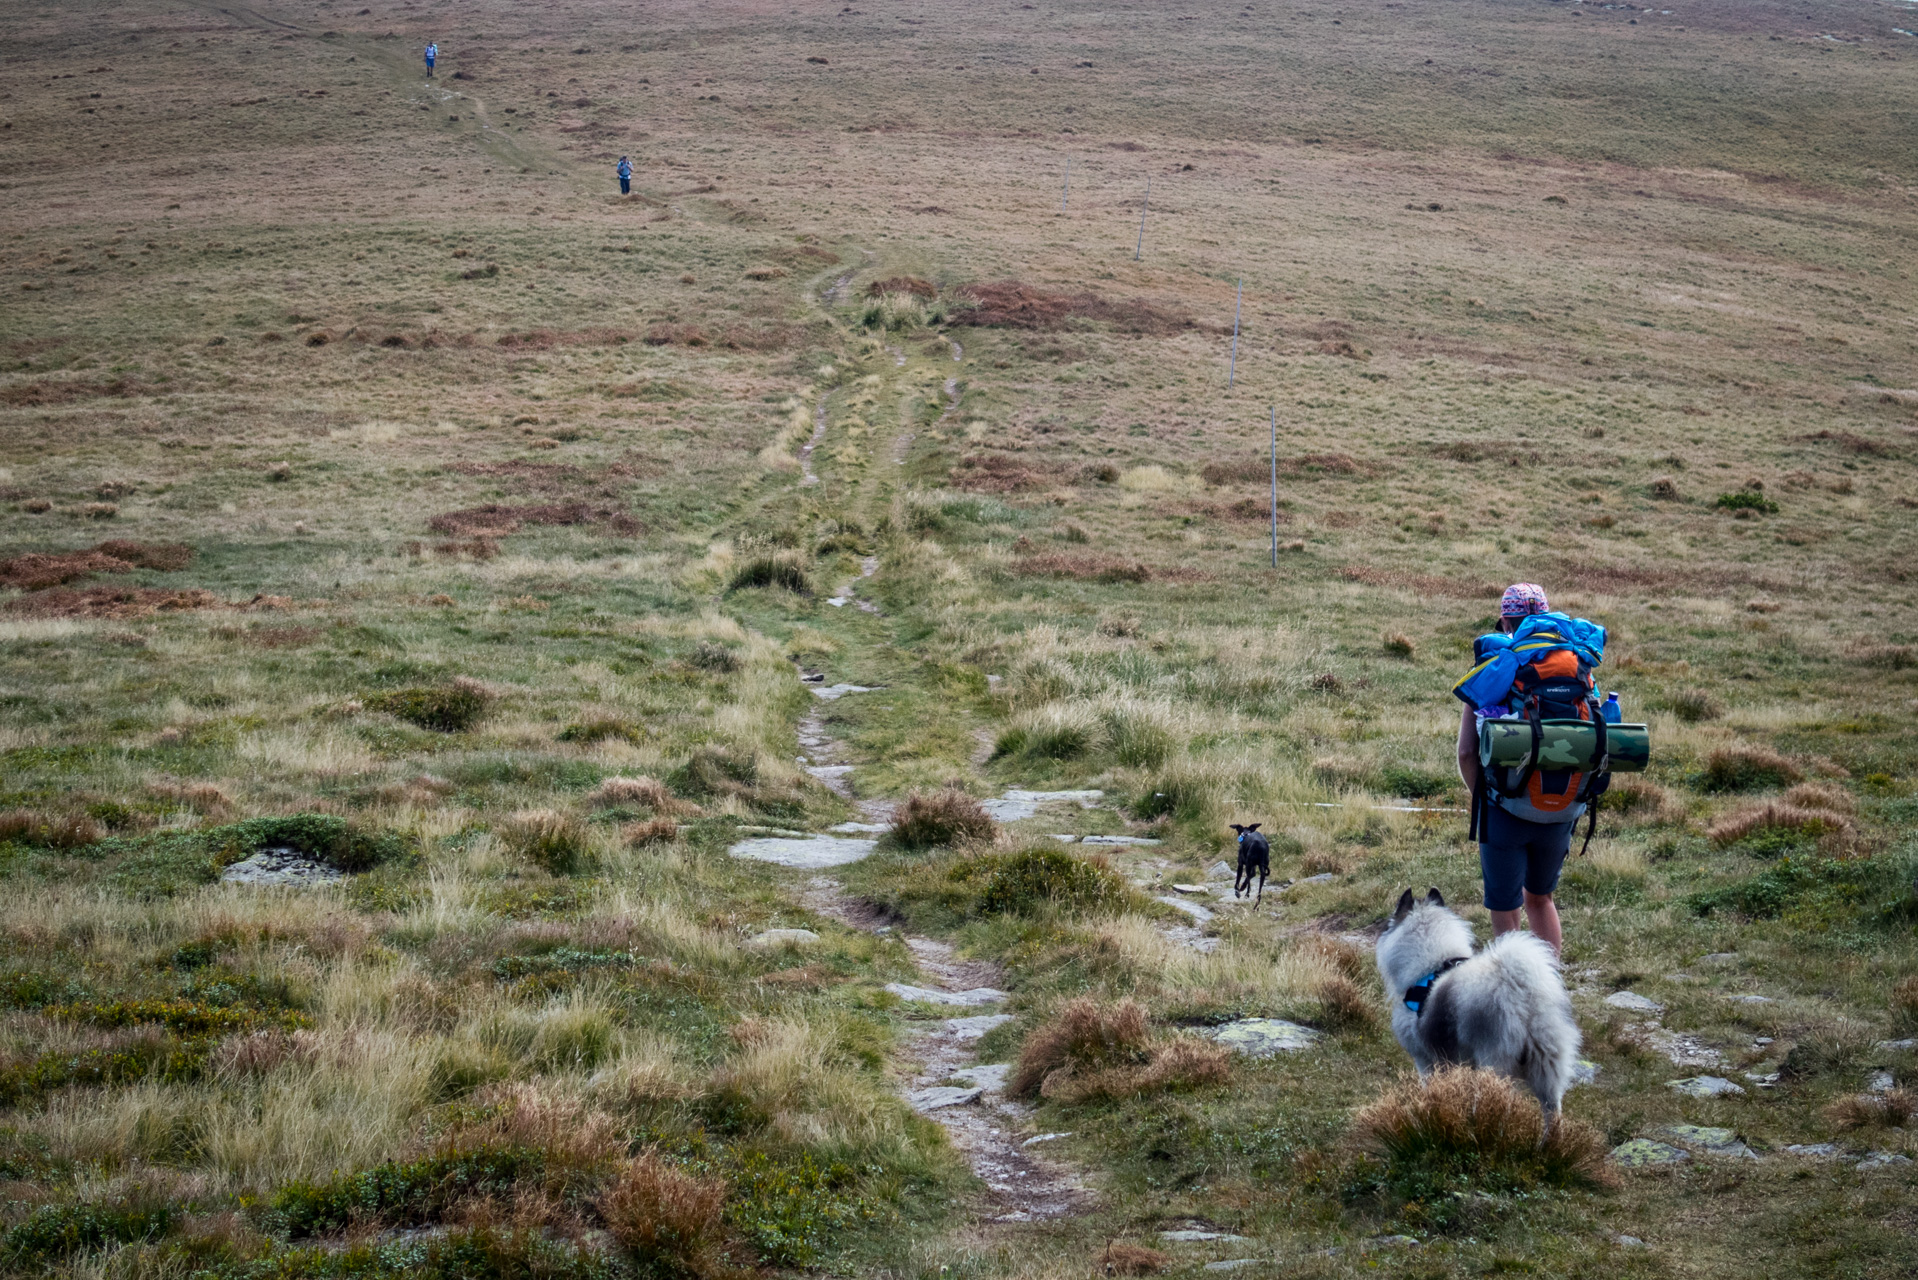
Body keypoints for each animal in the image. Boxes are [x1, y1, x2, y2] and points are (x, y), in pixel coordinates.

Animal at [1380, 886, 1588, 1128]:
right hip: (1547, 1067)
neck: (1432, 965)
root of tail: (1520, 993)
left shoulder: (1425, 1059)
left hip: (1494, 1064)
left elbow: (1431, 1090)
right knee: (1552, 1113)